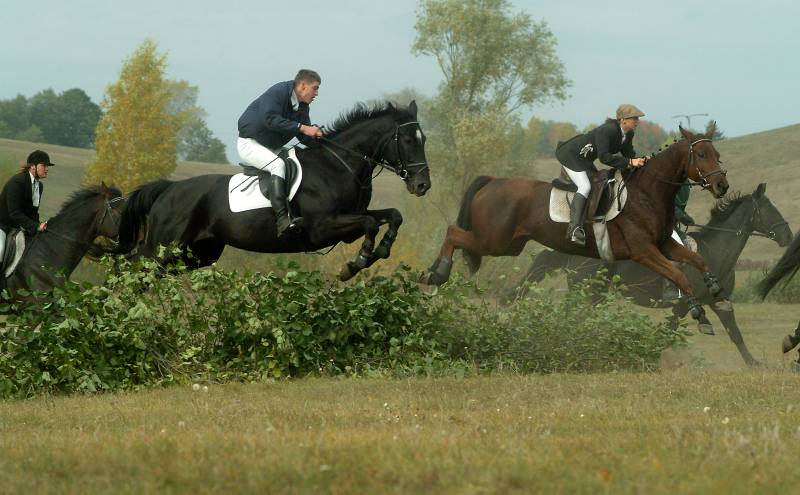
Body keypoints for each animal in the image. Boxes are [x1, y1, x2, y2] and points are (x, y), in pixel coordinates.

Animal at [108, 101, 432, 280]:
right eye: (406, 140)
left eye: (424, 138)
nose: (422, 185)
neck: (338, 165)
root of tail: (170, 189)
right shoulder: (323, 227)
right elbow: (369, 224)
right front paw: (357, 264)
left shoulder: (352, 219)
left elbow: (393, 216)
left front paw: (381, 251)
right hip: (165, 247)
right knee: (131, 265)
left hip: (197, 253)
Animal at [424, 125, 732, 334]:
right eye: (701, 154)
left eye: (718, 154)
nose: (722, 186)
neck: (646, 193)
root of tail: (493, 181)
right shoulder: (644, 251)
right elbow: (679, 275)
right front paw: (700, 314)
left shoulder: (664, 244)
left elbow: (698, 260)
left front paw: (717, 291)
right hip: (494, 240)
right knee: (453, 232)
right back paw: (436, 273)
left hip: (509, 244)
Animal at [516, 184, 792, 366]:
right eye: (770, 209)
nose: (788, 237)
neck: (715, 253)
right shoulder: (683, 304)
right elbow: (668, 332)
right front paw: (651, 356)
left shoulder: (719, 301)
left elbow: (735, 333)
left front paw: (754, 363)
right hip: (588, 292)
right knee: (574, 317)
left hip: (595, 294)